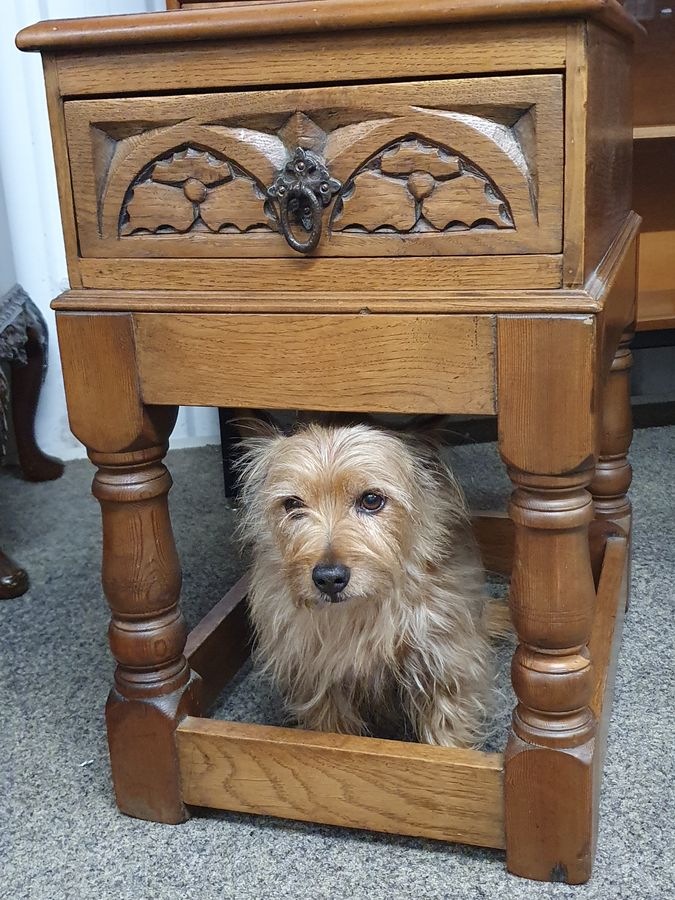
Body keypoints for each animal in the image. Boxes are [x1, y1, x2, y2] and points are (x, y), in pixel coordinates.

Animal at [238, 418, 502, 748]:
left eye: (372, 499)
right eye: (292, 504)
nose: (329, 579)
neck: (361, 612)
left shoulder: (442, 668)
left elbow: (446, 733)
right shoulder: (319, 682)